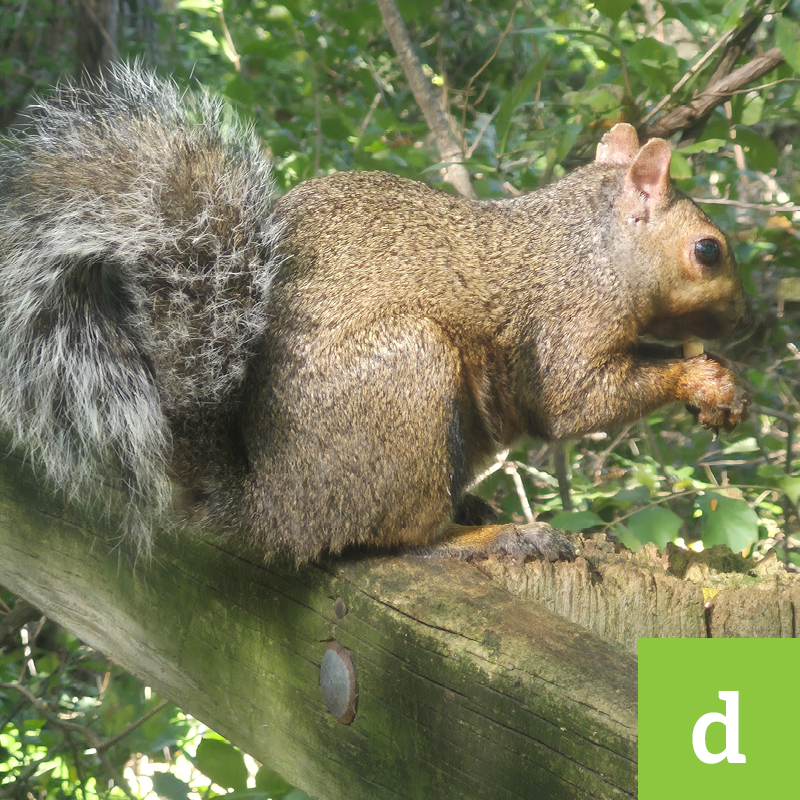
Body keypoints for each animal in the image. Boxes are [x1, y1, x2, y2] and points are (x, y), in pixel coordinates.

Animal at [0, 64, 749, 564]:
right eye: (707, 251)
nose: (741, 322)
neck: (591, 246)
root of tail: (275, 511)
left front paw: (725, 383)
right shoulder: (569, 320)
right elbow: (576, 403)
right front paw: (698, 378)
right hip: (412, 375)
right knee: (405, 537)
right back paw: (492, 534)